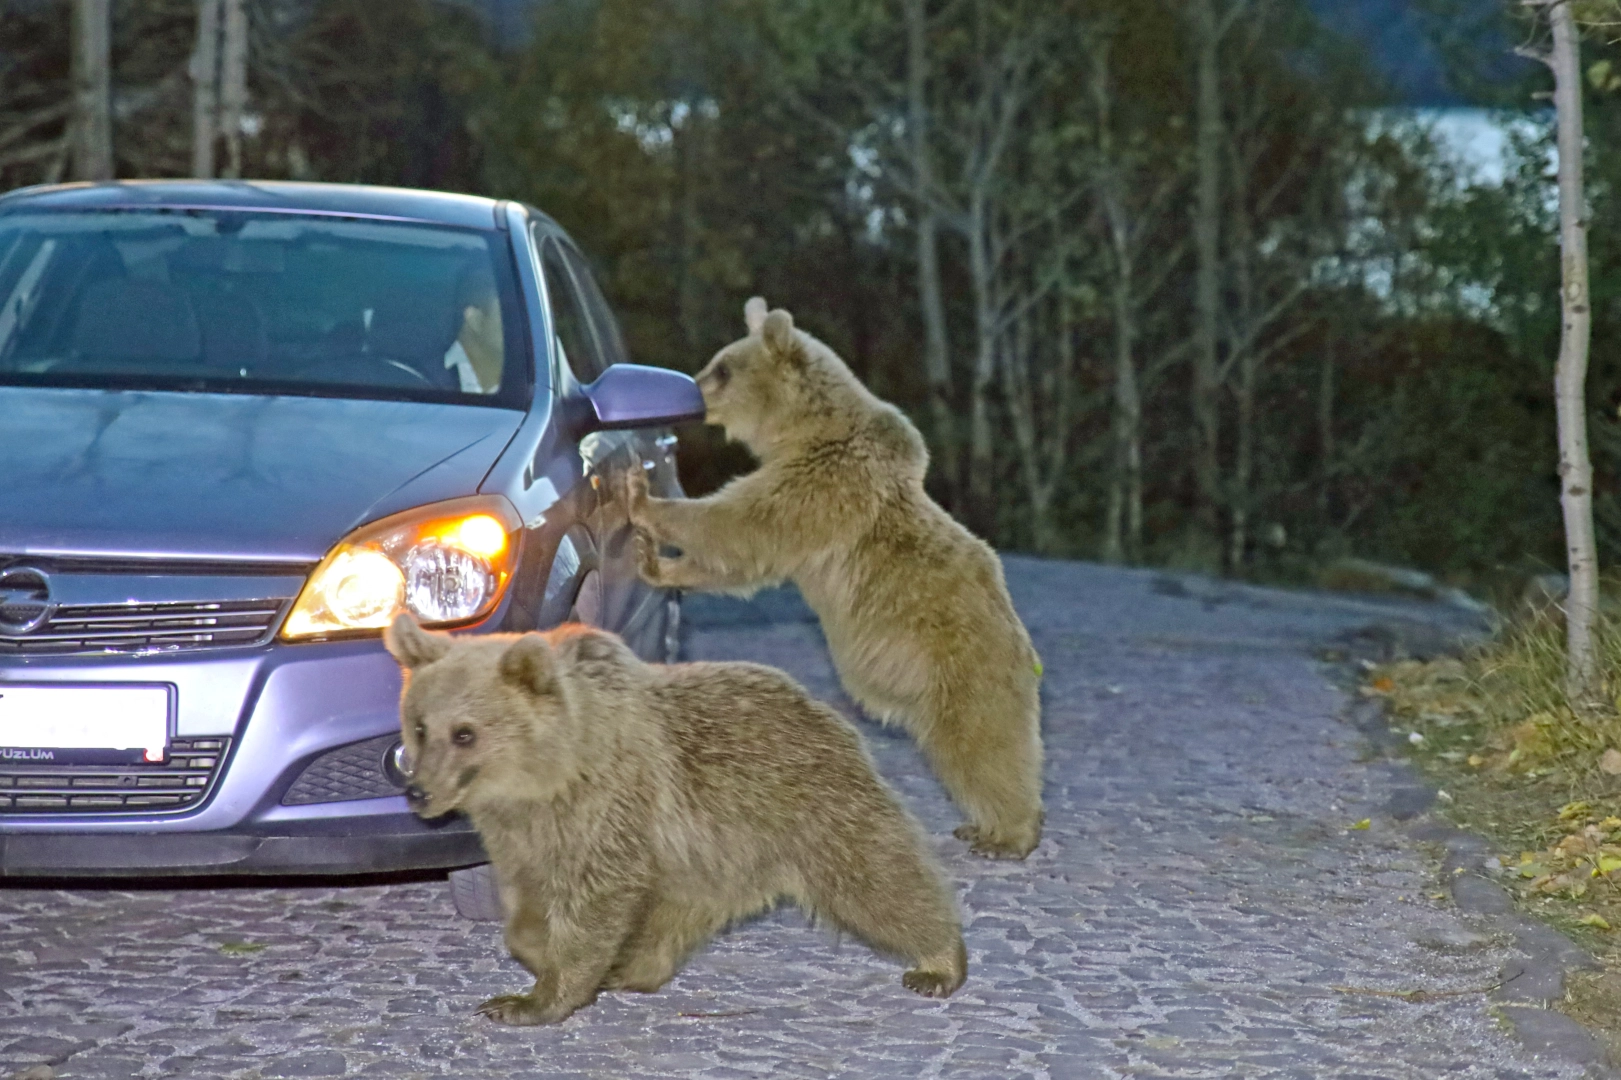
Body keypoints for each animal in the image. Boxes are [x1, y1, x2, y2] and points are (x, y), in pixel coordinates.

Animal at [379, 609, 959, 1024]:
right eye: (420, 725)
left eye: (465, 732)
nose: (418, 791)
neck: (546, 778)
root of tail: (824, 708)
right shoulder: (521, 833)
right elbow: (526, 904)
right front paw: (542, 955)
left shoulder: (609, 809)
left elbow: (594, 902)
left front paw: (532, 999)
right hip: (708, 855)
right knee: (673, 917)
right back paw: (632, 969)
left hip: (807, 806)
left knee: (877, 880)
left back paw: (940, 960)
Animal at [625, 295, 1043, 856]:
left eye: (723, 368)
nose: (690, 392)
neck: (801, 431)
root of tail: (1023, 649)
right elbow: (741, 560)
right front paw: (658, 564)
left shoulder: (822, 485)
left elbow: (739, 525)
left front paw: (643, 499)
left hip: (963, 665)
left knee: (982, 745)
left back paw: (1007, 833)